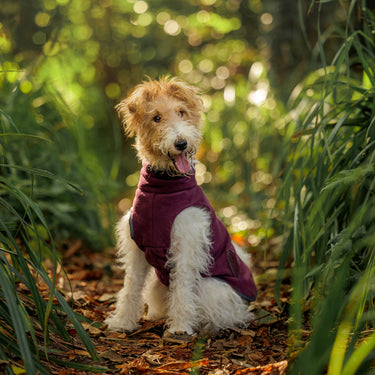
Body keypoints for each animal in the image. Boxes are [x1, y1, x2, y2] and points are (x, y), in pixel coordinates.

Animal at [107, 78, 258, 336]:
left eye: (181, 112)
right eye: (156, 118)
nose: (181, 143)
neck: (161, 189)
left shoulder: (186, 243)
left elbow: (182, 289)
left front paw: (179, 328)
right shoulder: (136, 247)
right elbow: (131, 286)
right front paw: (123, 322)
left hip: (212, 287)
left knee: (227, 313)